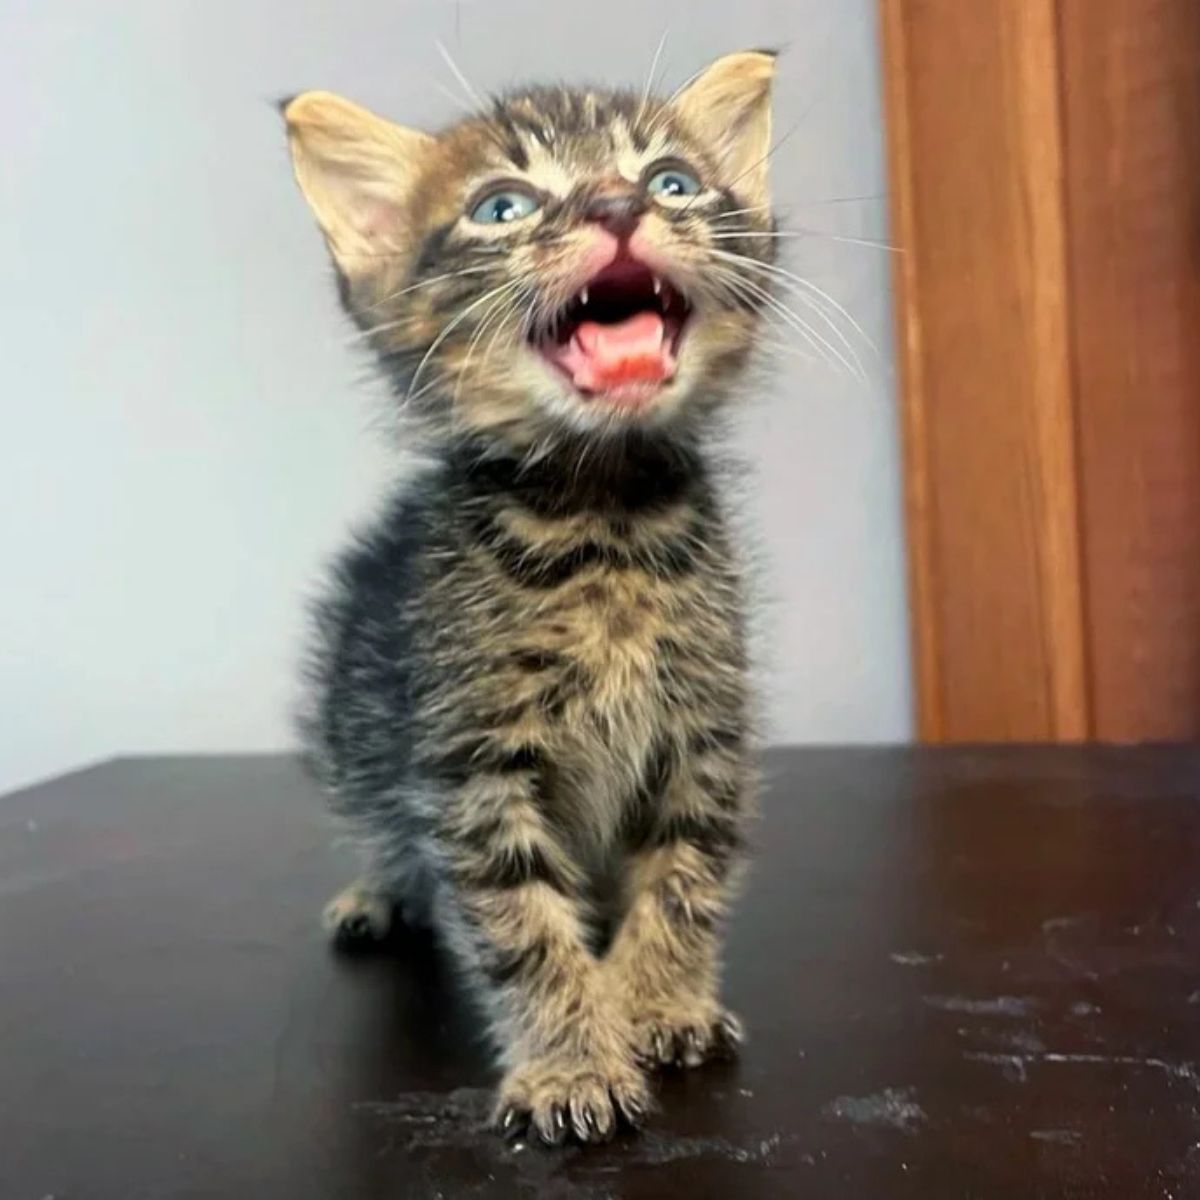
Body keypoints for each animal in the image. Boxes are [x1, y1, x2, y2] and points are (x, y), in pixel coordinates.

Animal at [282, 54, 777, 1142]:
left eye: (673, 180)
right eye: (501, 207)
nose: (619, 204)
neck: (603, 520)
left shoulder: (704, 731)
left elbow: (685, 875)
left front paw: (660, 1002)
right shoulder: (473, 763)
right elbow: (522, 924)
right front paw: (571, 1063)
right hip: (351, 720)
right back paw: (379, 892)